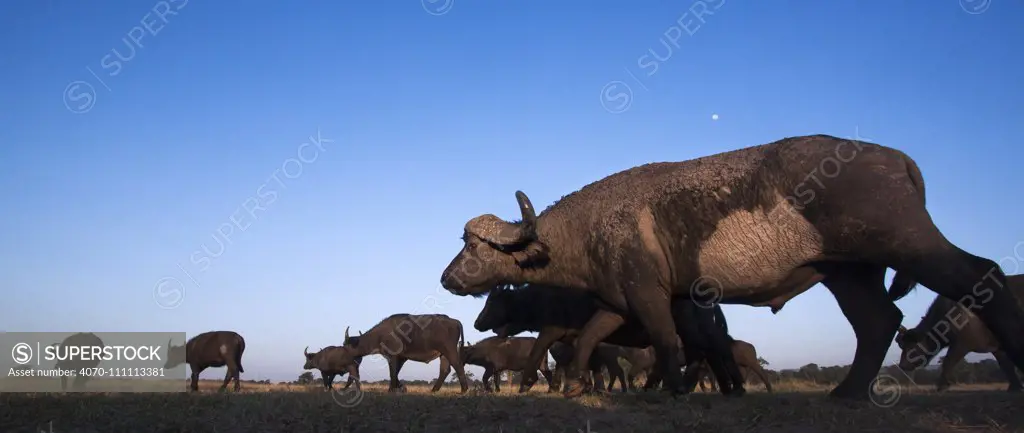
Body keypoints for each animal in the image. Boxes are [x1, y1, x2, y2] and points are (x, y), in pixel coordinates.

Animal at [342, 315, 473, 393]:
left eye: (345, 344)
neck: (381, 334)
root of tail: (453, 320)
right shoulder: (401, 358)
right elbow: (395, 372)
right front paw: (400, 387)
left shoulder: (393, 356)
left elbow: (392, 372)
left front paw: (392, 389)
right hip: (443, 354)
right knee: (445, 370)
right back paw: (434, 390)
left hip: (449, 350)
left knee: (457, 365)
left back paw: (464, 389)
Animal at [434, 134, 1024, 401]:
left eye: (473, 246)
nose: (446, 277)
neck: (589, 228)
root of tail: (894, 156)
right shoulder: (618, 303)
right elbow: (589, 339)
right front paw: (578, 383)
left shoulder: (649, 297)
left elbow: (666, 342)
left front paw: (669, 389)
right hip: (848, 275)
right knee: (878, 322)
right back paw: (848, 393)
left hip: (908, 245)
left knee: (982, 275)